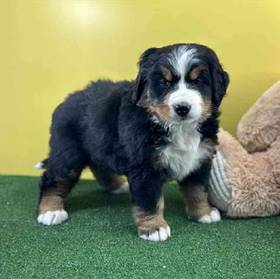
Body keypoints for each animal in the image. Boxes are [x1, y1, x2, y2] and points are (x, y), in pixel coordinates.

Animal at [37, 42, 229, 242]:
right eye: (164, 82)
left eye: (198, 81)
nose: (182, 108)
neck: (178, 128)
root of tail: (66, 101)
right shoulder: (144, 166)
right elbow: (149, 200)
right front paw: (154, 228)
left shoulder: (200, 158)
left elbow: (198, 189)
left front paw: (203, 212)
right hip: (68, 153)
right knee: (52, 179)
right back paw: (51, 211)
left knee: (100, 168)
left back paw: (117, 186)